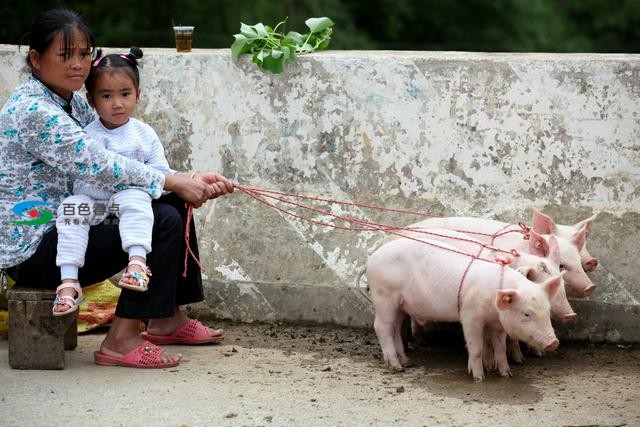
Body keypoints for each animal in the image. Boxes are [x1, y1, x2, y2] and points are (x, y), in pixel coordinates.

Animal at [364, 237, 560, 382]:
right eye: (526, 313)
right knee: (381, 327)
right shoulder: (470, 315)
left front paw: (506, 374)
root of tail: (371, 259)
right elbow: (476, 346)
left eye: (547, 311)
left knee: (395, 329)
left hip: (400, 305)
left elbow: (500, 347)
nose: (554, 342)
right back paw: (396, 366)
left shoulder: (497, 323)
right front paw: (479, 378)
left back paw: (407, 362)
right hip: (384, 296)